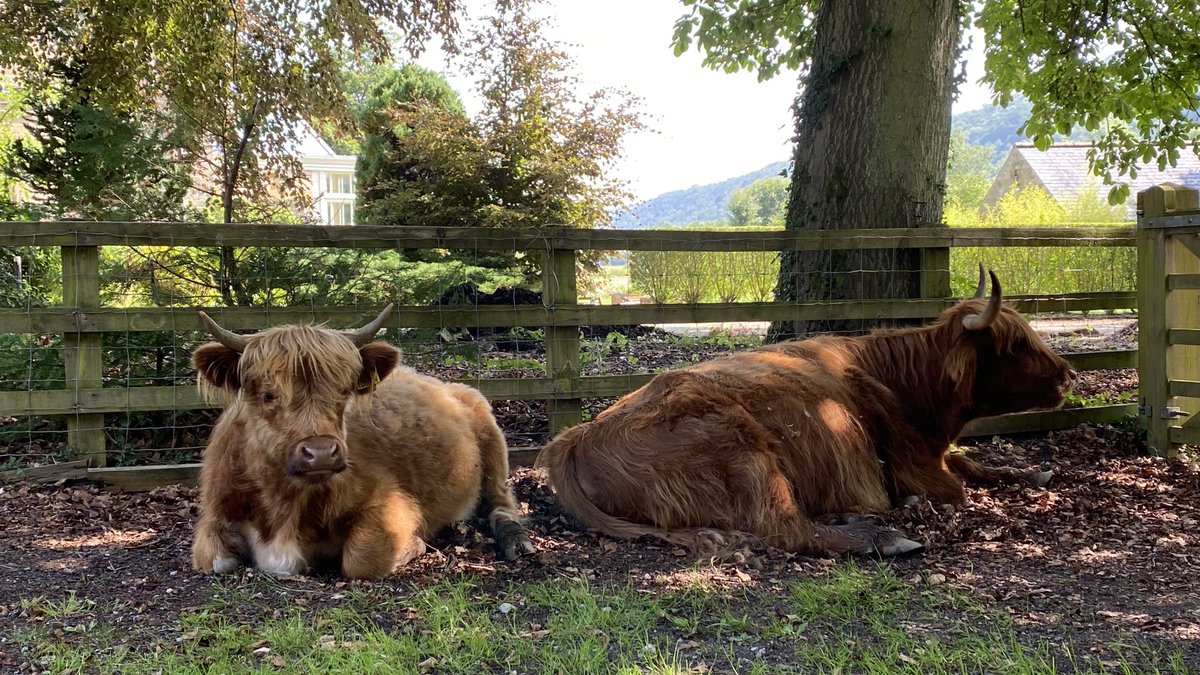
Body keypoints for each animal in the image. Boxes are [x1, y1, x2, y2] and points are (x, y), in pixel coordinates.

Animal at [190, 305, 534, 579]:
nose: (321, 453)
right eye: (268, 395)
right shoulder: (215, 513)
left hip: (491, 437)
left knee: (501, 502)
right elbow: (213, 559)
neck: (283, 503)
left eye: (344, 391)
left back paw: (515, 540)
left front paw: (414, 544)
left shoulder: (390, 501)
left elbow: (362, 559)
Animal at [538, 269, 1075, 557]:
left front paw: (1033, 473)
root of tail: (574, 437)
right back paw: (883, 536)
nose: (1068, 374)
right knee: (786, 528)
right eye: (1015, 344)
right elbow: (957, 486)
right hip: (744, 449)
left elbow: (974, 463)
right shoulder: (915, 466)